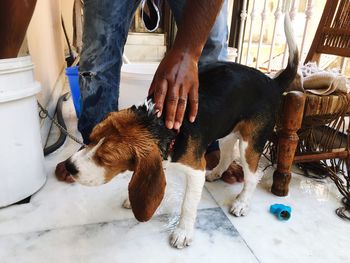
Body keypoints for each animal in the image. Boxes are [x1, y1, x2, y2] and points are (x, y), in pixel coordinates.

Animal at [65, 14, 298, 250]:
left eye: (106, 158)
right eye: (90, 139)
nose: (69, 166)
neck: (156, 121)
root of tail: (272, 82)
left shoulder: (195, 170)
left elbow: (187, 205)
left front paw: (183, 232)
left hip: (251, 143)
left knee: (252, 175)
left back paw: (242, 203)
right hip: (227, 130)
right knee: (227, 154)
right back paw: (216, 173)